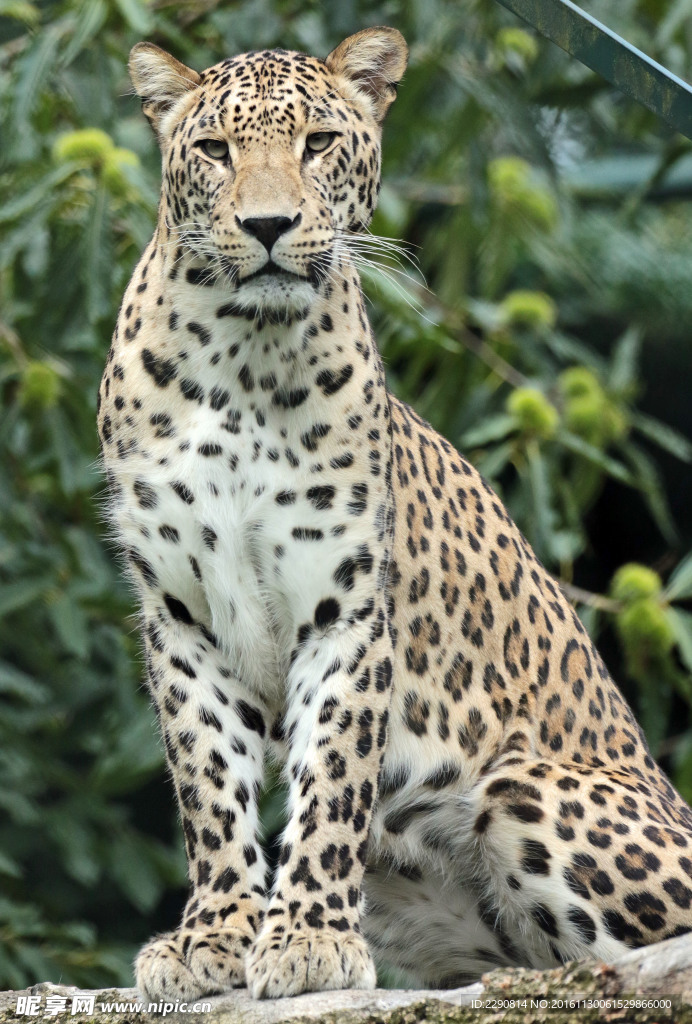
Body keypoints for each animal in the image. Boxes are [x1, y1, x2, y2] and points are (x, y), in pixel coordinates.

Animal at [97, 24, 692, 999]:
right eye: (216, 151)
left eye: (317, 145)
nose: (268, 227)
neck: (241, 355)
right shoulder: (179, 618)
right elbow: (209, 788)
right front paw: (215, 937)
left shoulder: (346, 609)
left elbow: (334, 779)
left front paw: (308, 938)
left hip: (525, 790)